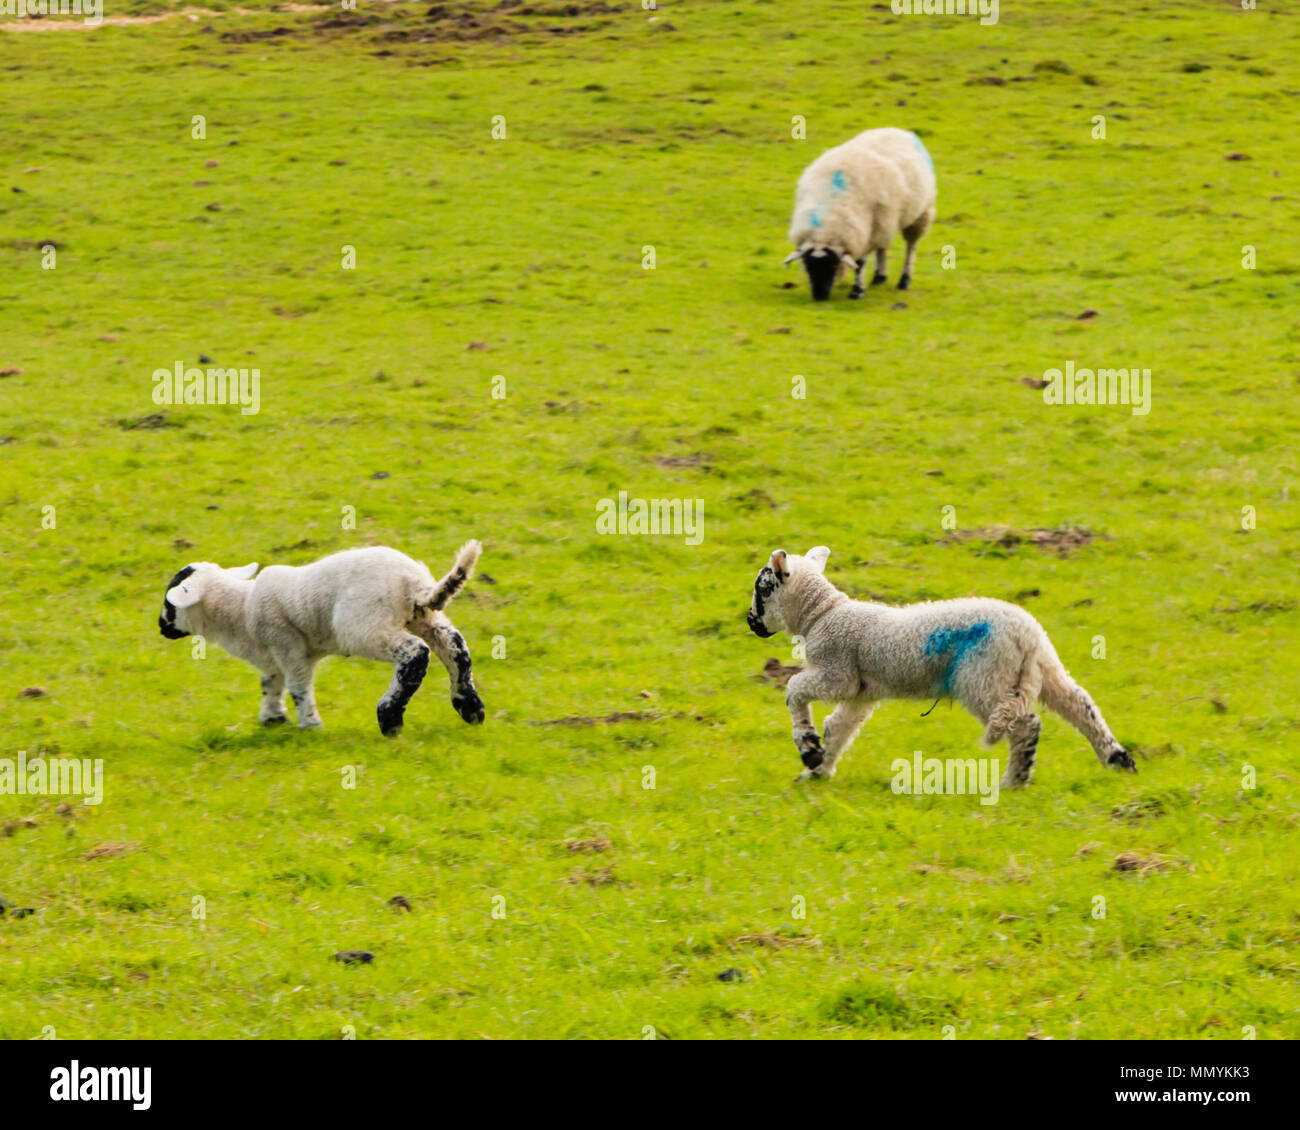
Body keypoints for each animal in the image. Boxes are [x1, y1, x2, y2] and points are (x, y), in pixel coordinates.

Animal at [158, 542, 485, 736]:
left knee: (416, 653)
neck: (241, 608)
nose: (161, 627)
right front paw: (272, 718)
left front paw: (310, 724)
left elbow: (297, 685)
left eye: (170, 601)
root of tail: (414, 583)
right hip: (424, 616)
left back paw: (390, 716)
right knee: (455, 647)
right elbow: (271, 682)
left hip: (365, 625)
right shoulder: (274, 654)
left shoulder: (288, 646)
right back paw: (469, 706)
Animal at [746, 546, 1136, 786]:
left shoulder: (836, 673)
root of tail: (1026, 635)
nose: (751, 622)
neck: (822, 614)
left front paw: (808, 749)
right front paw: (817, 770)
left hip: (983, 676)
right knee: (1080, 705)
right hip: (1043, 669)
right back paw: (1118, 759)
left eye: (762, 588)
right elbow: (838, 728)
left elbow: (794, 690)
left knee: (1026, 724)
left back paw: (1015, 781)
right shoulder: (861, 692)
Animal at [784, 127, 937, 300]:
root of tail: (897, 130)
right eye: (808, 265)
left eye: (833, 264)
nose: (820, 296)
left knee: (911, 246)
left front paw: (857, 291)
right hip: (884, 219)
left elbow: (859, 263)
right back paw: (879, 277)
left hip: (919, 213)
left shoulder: (862, 234)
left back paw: (904, 280)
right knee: (882, 246)